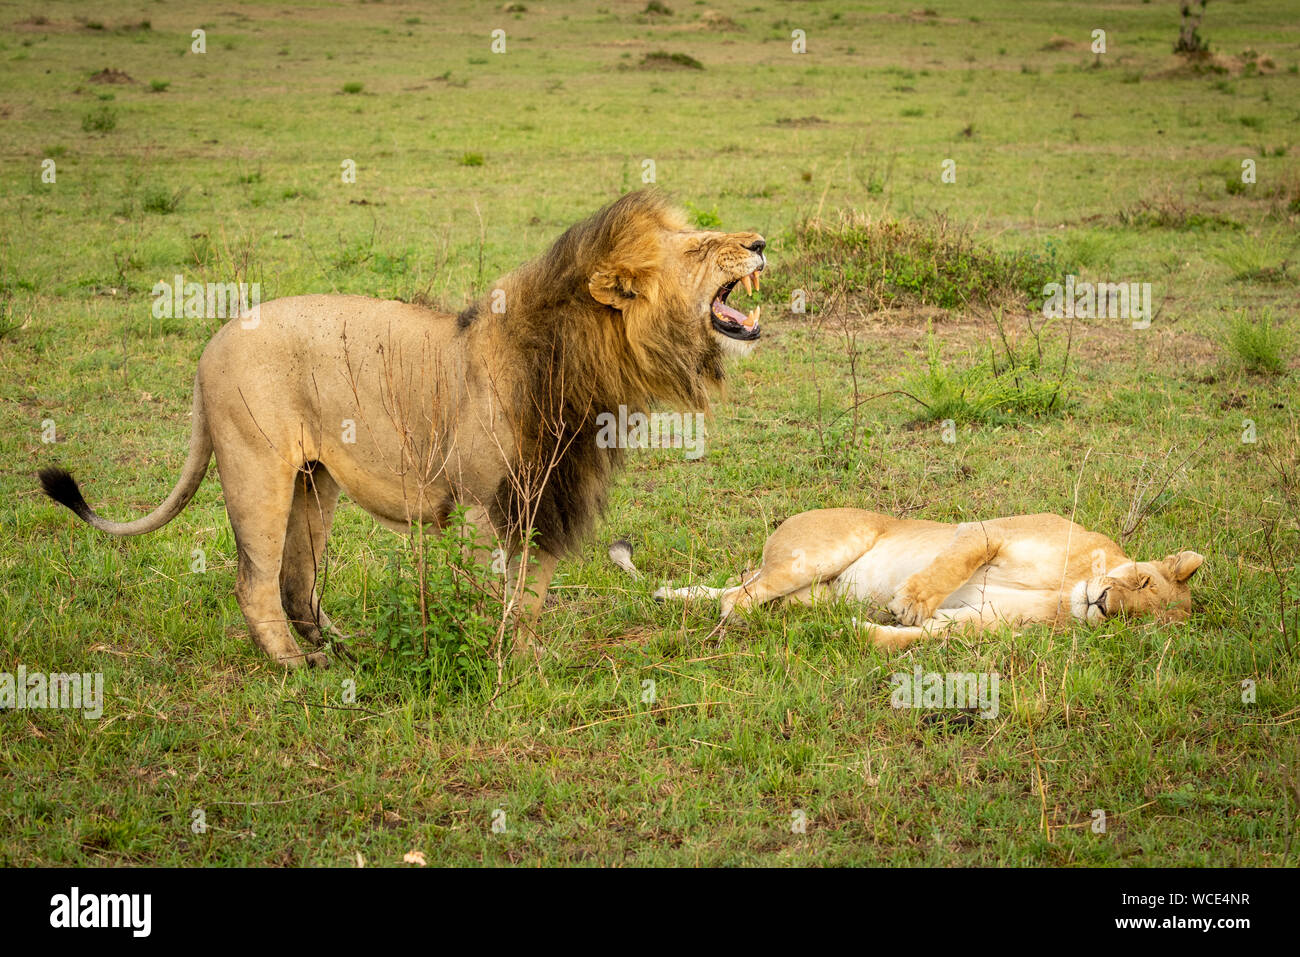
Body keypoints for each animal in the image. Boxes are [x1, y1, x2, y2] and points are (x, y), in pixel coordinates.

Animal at [38, 191, 769, 670]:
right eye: (701, 248)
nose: (760, 243)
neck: (584, 355)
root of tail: (208, 346)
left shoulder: (546, 495)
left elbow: (531, 596)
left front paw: (524, 662)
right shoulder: (481, 503)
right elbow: (488, 595)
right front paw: (485, 661)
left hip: (314, 484)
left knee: (297, 582)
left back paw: (339, 649)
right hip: (256, 470)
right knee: (253, 581)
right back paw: (294, 669)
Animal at [644, 509, 1201, 650]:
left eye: (1137, 623)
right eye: (1144, 583)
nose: (1104, 605)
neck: (1070, 590)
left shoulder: (983, 621)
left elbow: (921, 637)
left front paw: (862, 632)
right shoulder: (989, 530)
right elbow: (953, 563)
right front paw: (909, 601)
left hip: (810, 594)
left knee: (742, 593)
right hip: (817, 553)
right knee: (738, 595)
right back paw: (732, 629)